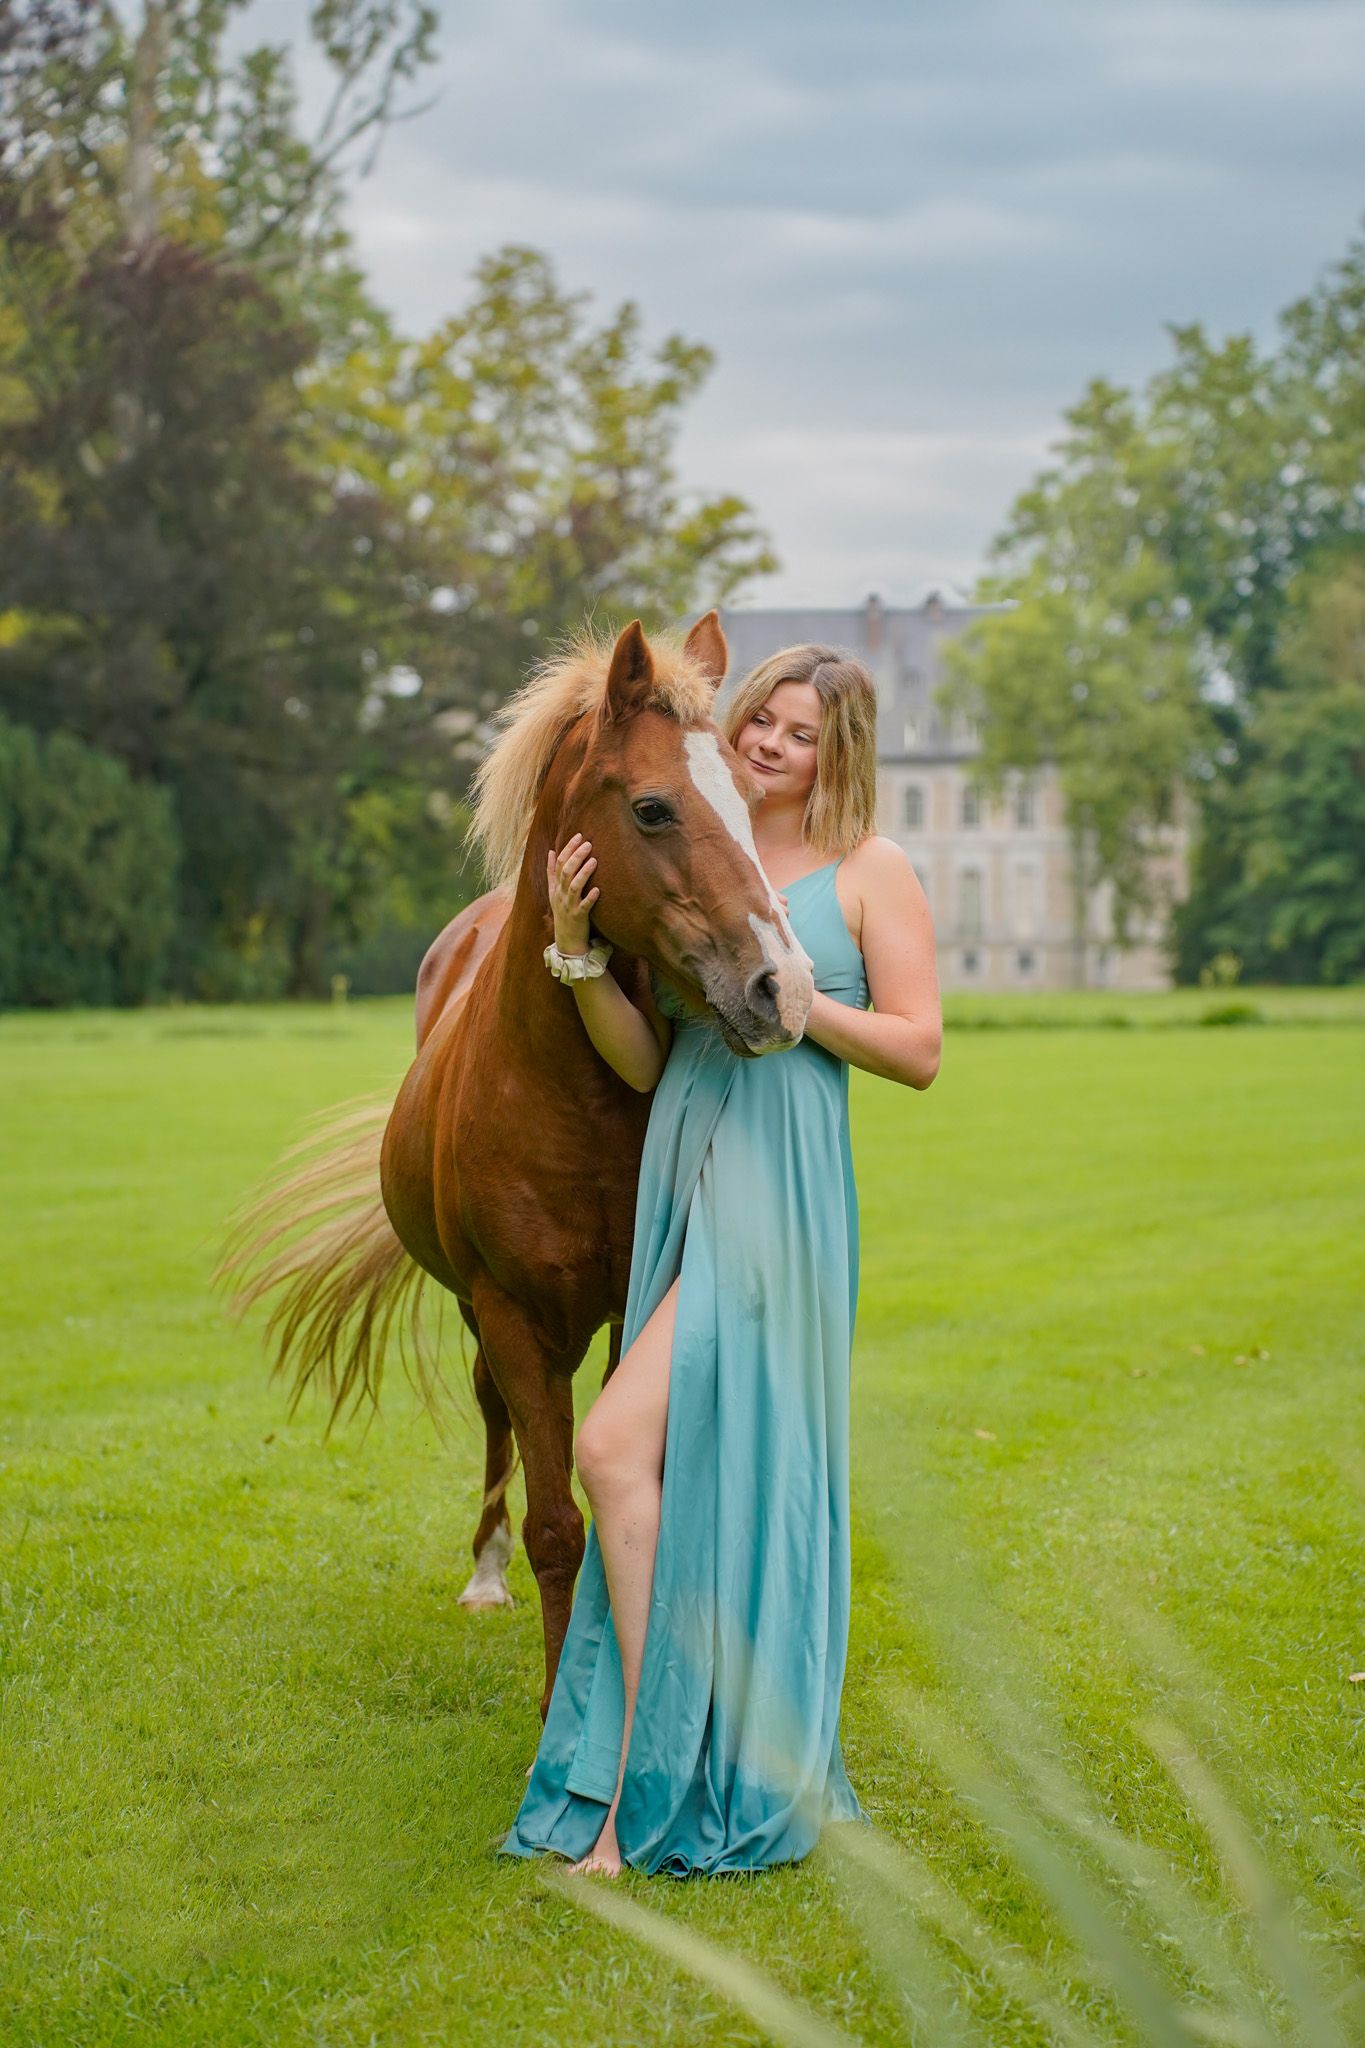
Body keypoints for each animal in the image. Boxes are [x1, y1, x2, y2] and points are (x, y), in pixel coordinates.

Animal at [219, 612, 816, 1718]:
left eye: (754, 805)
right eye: (654, 806)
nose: (782, 987)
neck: (564, 1092)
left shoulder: (634, 1301)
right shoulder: (510, 1313)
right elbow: (554, 1523)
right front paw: (557, 1707)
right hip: (480, 1312)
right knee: (493, 1413)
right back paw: (484, 1571)